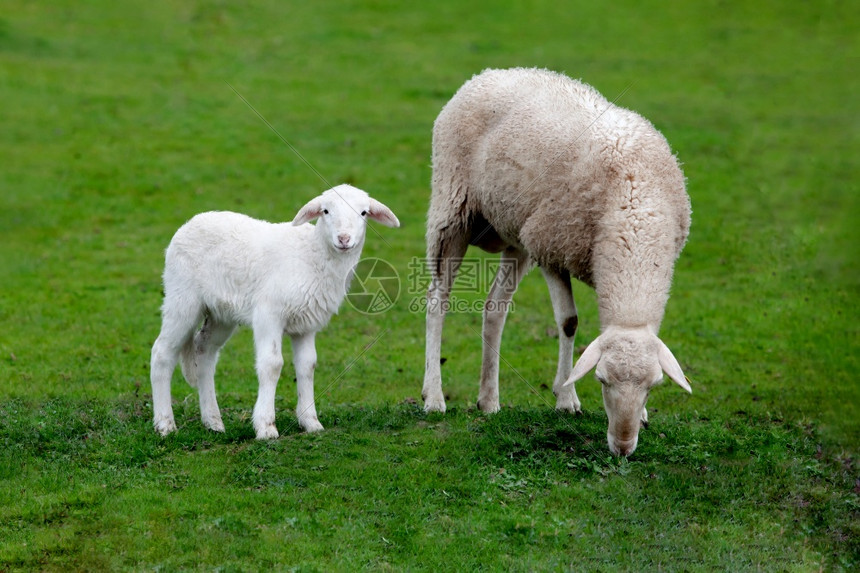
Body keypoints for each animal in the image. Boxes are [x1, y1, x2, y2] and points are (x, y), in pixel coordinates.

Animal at [150, 183, 400, 438]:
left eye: (364, 213)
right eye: (326, 211)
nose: (344, 238)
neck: (313, 255)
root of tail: (190, 223)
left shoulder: (306, 324)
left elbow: (307, 365)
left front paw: (311, 422)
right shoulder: (268, 314)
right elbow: (272, 364)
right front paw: (266, 426)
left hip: (221, 313)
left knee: (204, 350)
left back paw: (213, 422)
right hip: (182, 297)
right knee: (162, 352)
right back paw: (165, 424)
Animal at [422, 68, 692, 456]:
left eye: (652, 386)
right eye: (601, 380)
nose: (622, 448)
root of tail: (488, 74)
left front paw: (641, 417)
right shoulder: (551, 249)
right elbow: (568, 322)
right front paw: (566, 398)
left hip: (516, 232)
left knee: (495, 308)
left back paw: (489, 401)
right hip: (453, 209)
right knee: (437, 301)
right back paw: (433, 397)